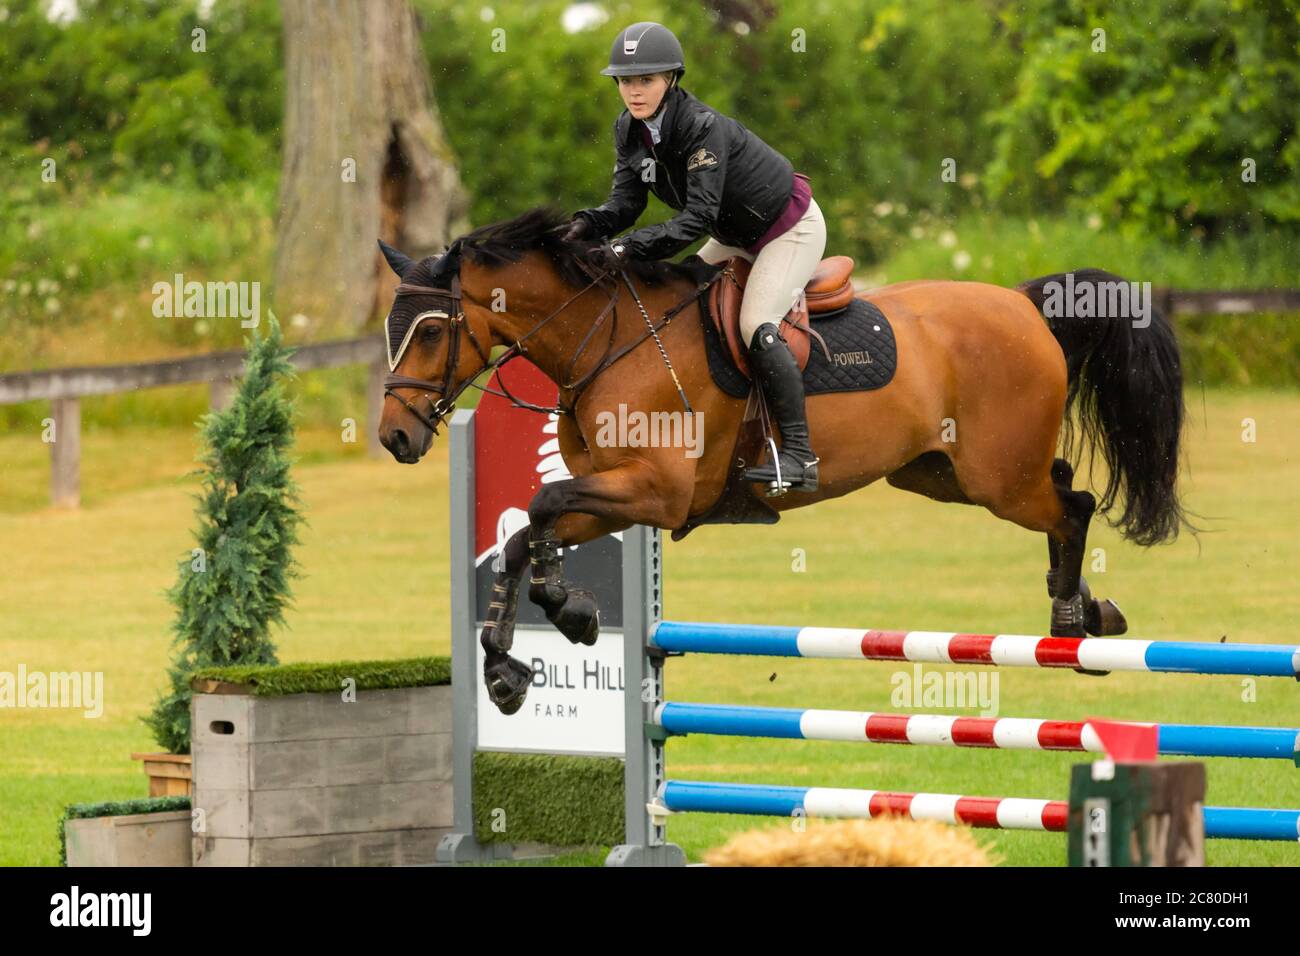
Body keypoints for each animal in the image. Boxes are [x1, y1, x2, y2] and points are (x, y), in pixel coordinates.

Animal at [377, 210, 1190, 717]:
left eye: (431, 331)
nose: (393, 438)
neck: (604, 341)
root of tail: (1022, 303)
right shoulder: (619, 491)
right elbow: (524, 532)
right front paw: (511, 663)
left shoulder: (655, 493)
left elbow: (542, 509)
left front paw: (564, 614)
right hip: (941, 473)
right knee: (1063, 490)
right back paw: (1089, 608)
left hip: (997, 479)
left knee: (1074, 506)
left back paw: (1071, 625)